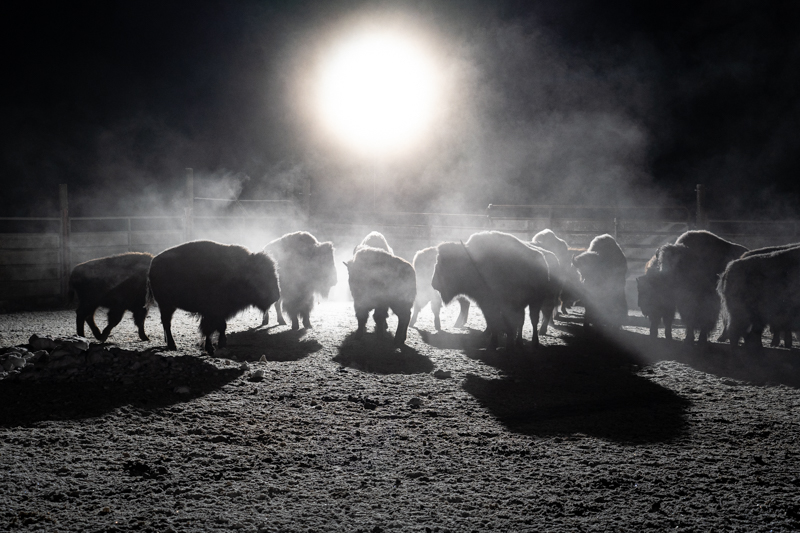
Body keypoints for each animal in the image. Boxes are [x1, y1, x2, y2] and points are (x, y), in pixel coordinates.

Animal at [150, 241, 282, 354]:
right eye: (261, 275)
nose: (276, 295)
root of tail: (154, 262)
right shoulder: (212, 312)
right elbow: (210, 329)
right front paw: (210, 347)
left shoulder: (220, 312)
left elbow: (221, 327)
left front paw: (221, 344)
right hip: (166, 305)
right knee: (167, 323)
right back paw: (172, 345)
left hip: (168, 306)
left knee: (166, 323)